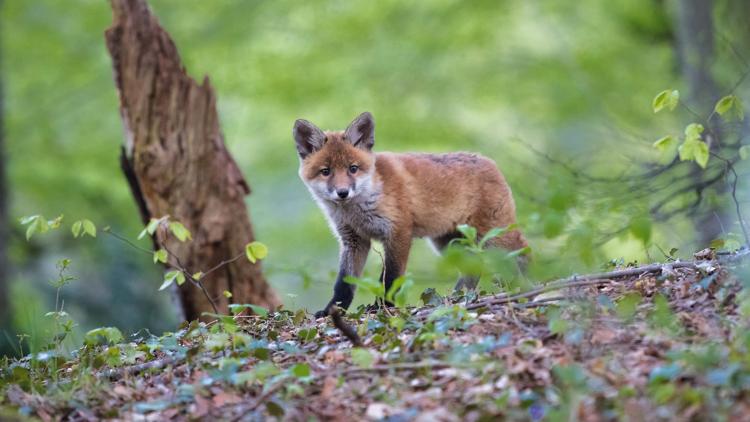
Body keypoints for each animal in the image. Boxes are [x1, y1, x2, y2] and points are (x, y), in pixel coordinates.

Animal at [294, 112, 528, 316]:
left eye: (353, 168)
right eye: (326, 171)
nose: (343, 192)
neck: (358, 209)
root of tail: (489, 161)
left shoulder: (398, 232)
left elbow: (390, 278)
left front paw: (383, 307)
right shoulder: (353, 240)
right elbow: (344, 284)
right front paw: (332, 310)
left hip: (494, 237)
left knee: (523, 252)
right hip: (449, 245)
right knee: (472, 270)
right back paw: (457, 298)